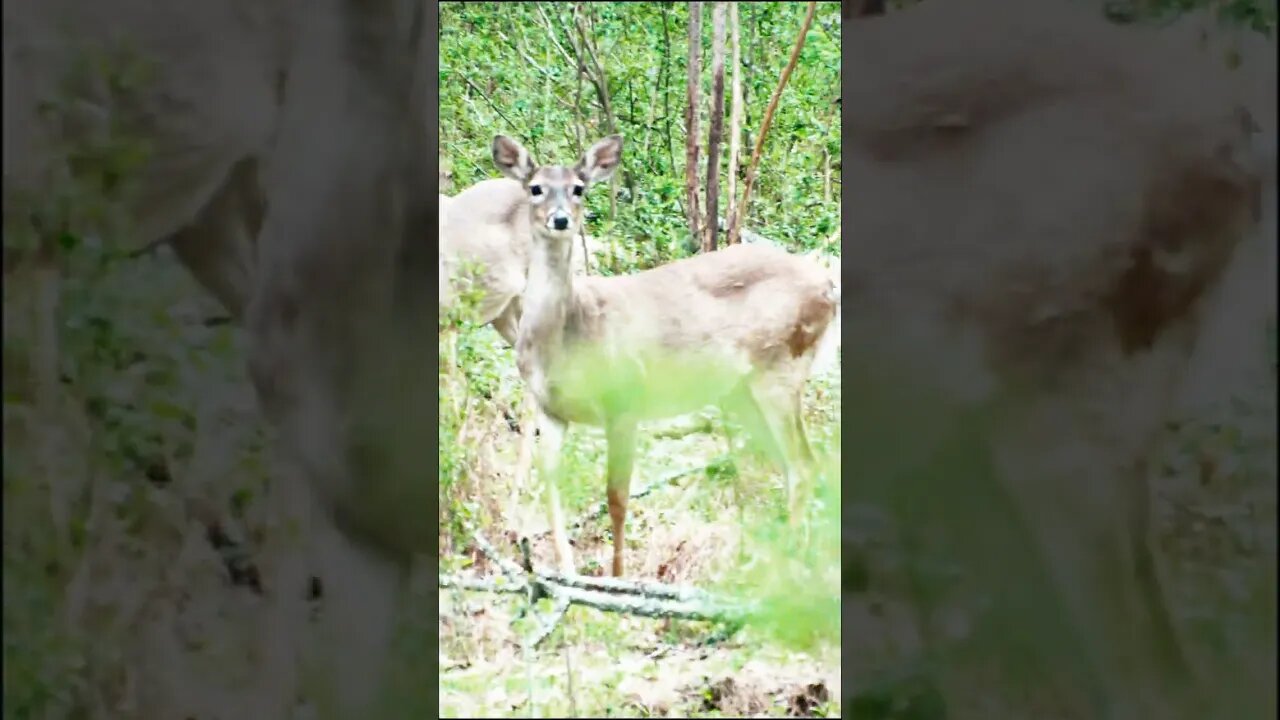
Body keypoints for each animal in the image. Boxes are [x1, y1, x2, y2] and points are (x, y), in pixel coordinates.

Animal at [489, 133, 840, 578]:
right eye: (535, 188)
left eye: (578, 188)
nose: (561, 219)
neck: (567, 334)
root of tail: (828, 285)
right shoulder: (551, 408)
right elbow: (551, 482)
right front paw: (565, 571)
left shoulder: (624, 398)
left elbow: (617, 497)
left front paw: (618, 578)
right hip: (741, 391)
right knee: (786, 464)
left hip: (781, 367)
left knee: (803, 464)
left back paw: (787, 563)